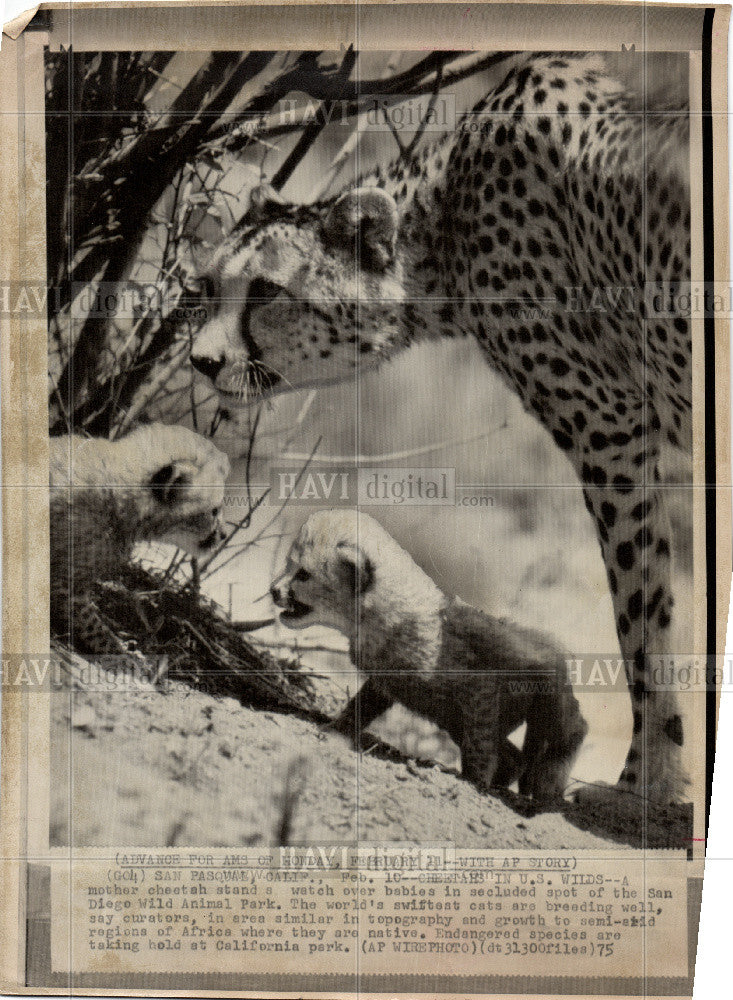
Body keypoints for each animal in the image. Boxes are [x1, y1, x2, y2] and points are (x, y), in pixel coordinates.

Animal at [190, 52, 692, 804]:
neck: (446, 213)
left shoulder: (611, 427)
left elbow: (643, 616)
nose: (200, 360)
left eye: (267, 293)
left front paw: (645, 783)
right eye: (208, 286)